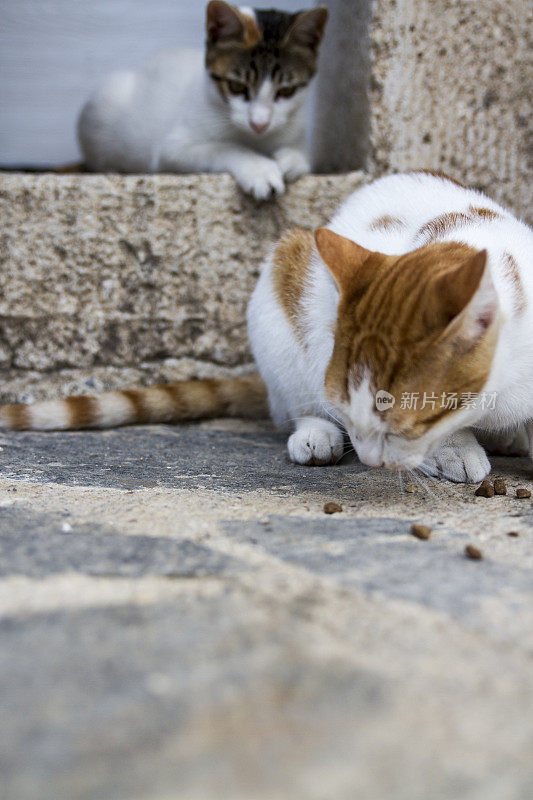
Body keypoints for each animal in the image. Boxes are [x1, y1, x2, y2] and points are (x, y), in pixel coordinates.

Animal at [78, 0, 328, 199]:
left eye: (286, 91)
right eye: (236, 86)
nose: (259, 124)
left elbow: (300, 151)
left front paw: (292, 160)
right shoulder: (171, 152)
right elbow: (226, 147)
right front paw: (260, 169)